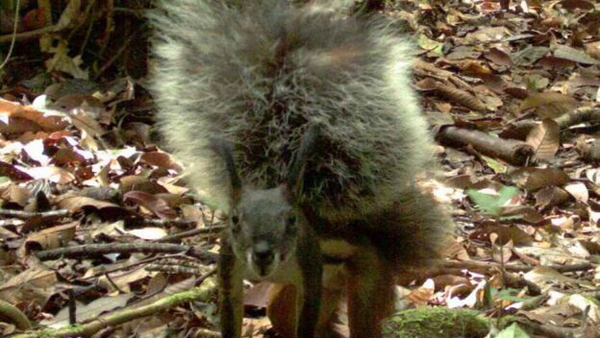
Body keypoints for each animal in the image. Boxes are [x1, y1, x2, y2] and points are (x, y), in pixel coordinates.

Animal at [149, 0, 450, 338]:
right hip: (307, 292)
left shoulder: (310, 268)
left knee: (361, 321)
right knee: (287, 315)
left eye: (292, 220)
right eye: (235, 219)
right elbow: (231, 304)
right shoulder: (229, 264)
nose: (263, 253)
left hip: (366, 280)